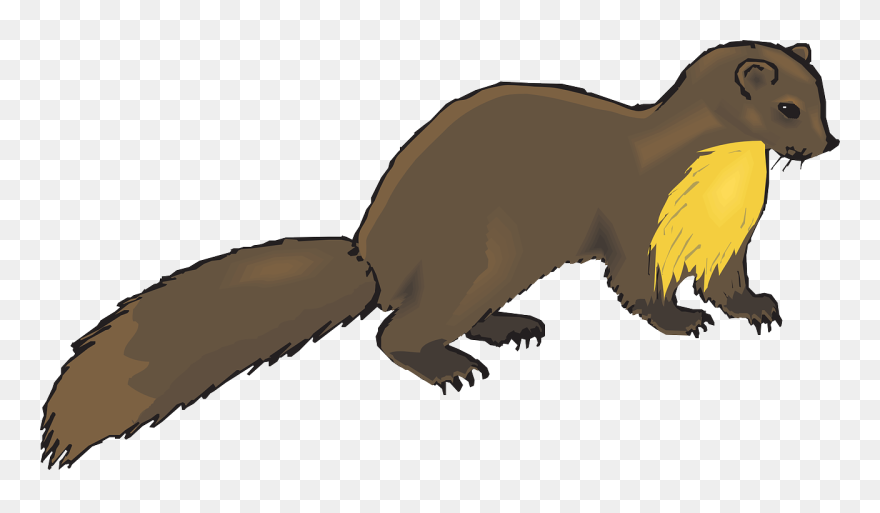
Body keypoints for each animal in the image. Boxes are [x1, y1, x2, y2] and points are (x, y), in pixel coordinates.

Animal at [41, 41, 838, 468]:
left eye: (822, 100)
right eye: (787, 109)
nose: (829, 143)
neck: (718, 194)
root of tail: (375, 251)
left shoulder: (727, 241)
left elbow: (731, 284)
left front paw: (758, 308)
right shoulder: (639, 216)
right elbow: (639, 286)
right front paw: (680, 321)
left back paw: (514, 327)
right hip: (483, 251)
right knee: (397, 331)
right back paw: (453, 366)